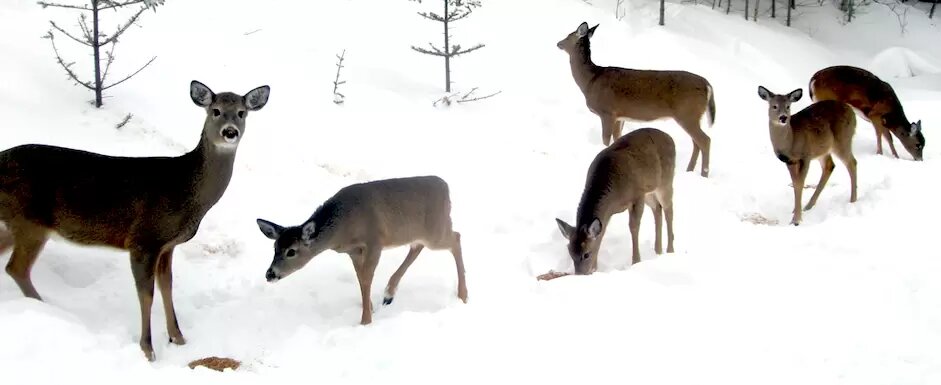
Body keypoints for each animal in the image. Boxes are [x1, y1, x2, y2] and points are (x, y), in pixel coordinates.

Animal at [0, 80, 272, 360]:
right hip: (30, 222)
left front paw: (178, 338)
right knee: (16, 268)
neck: (186, 190)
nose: (230, 132)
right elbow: (146, 294)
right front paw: (148, 349)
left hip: (15, 224)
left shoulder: (167, 245)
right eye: (215, 111)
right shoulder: (143, 239)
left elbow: (167, 286)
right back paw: (46, 309)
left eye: (241, 113)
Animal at [255, 174, 468, 324]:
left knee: (456, 237)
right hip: (420, 233)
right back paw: (389, 294)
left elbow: (366, 279)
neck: (343, 227)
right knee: (417, 246)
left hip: (436, 231)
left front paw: (366, 321)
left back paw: (463, 295)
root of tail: (445, 187)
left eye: (291, 251)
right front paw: (370, 308)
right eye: (275, 247)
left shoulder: (375, 241)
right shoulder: (353, 251)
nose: (269, 274)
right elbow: (361, 278)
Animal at [552, 127, 676, 274]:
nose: (580, 275)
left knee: (669, 210)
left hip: (666, 182)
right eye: (570, 252)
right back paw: (658, 251)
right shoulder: (609, 211)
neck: (615, 194)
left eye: (586, 254)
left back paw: (670, 250)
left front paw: (636, 261)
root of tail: (669, 137)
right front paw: (595, 269)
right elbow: (602, 232)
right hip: (650, 190)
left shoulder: (637, 195)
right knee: (657, 209)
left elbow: (634, 227)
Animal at [556, 21, 716, 177]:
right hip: (693, 116)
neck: (591, 81)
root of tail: (707, 85)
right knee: (696, 142)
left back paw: (704, 174)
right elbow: (617, 138)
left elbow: (605, 139)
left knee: (705, 140)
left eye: (569, 35)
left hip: (687, 113)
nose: (558, 43)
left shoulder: (607, 112)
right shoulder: (620, 116)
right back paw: (689, 170)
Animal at [760, 85, 856, 225]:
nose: (783, 117)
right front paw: (795, 211)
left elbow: (800, 183)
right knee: (830, 165)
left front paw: (796, 220)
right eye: (774, 106)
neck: (791, 141)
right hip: (823, 149)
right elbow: (795, 184)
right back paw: (809, 205)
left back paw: (853, 200)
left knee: (852, 163)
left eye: (788, 106)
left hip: (843, 139)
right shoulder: (790, 161)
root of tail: (851, 111)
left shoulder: (805, 156)